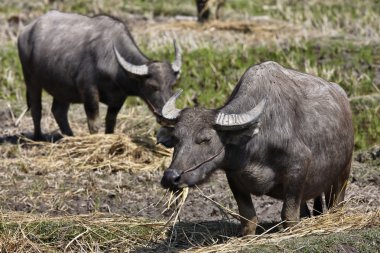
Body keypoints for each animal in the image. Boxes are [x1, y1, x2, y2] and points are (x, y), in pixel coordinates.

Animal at [18, 10, 182, 140]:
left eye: (172, 85)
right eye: (153, 86)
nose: (168, 119)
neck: (113, 62)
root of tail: (25, 31)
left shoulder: (118, 98)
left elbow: (110, 122)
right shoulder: (89, 91)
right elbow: (94, 122)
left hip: (61, 88)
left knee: (59, 111)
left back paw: (70, 136)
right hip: (30, 78)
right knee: (36, 109)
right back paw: (38, 138)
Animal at [157, 61, 354, 235]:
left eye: (205, 139)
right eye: (176, 139)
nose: (171, 177)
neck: (254, 144)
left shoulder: (299, 167)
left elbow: (289, 215)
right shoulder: (234, 177)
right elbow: (248, 218)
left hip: (343, 171)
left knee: (337, 202)